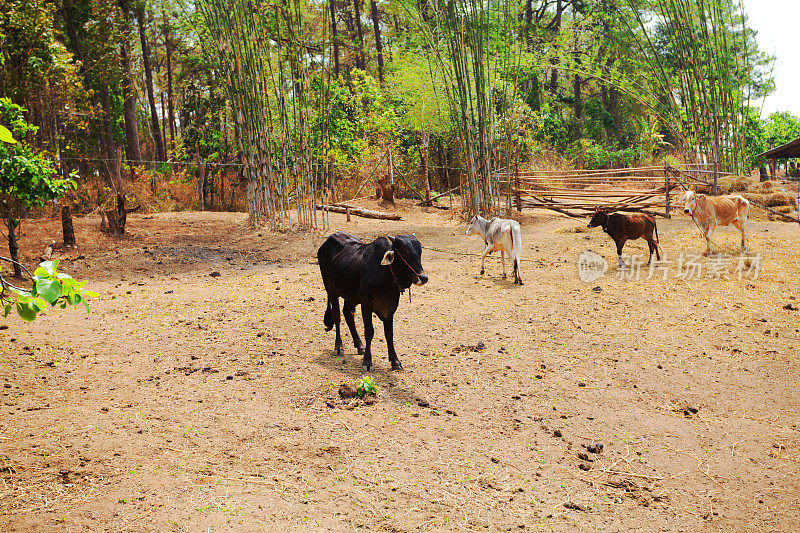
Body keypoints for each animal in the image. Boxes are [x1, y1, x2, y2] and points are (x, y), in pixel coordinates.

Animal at [318, 231, 428, 372]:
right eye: (403, 251)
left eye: (420, 251)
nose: (423, 277)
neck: (385, 276)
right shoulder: (366, 304)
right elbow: (369, 331)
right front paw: (367, 361)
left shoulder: (390, 307)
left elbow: (389, 334)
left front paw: (395, 361)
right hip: (331, 291)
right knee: (337, 317)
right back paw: (339, 347)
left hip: (351, 296)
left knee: (348, 314)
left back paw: (360, 346)